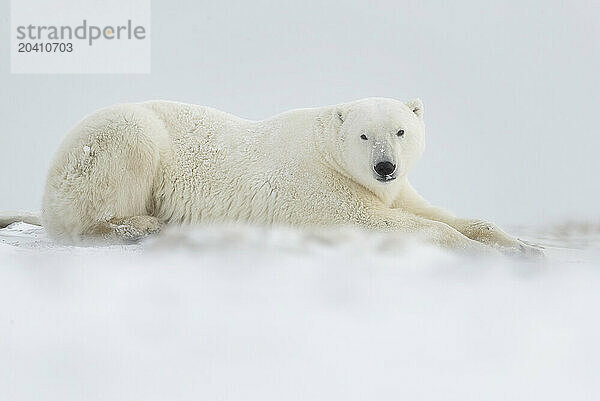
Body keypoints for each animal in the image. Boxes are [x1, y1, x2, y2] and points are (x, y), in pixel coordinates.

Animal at [39, 96, 540, 253]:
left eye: (400, 130)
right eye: (364, 135)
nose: (385, 166)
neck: (327, 149)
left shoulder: (396, 191)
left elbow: (436, 212)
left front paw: (523, 246)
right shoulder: (322, 189)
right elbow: (377, 222)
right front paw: (482, 251)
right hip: (114, 140)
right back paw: (140, 224)